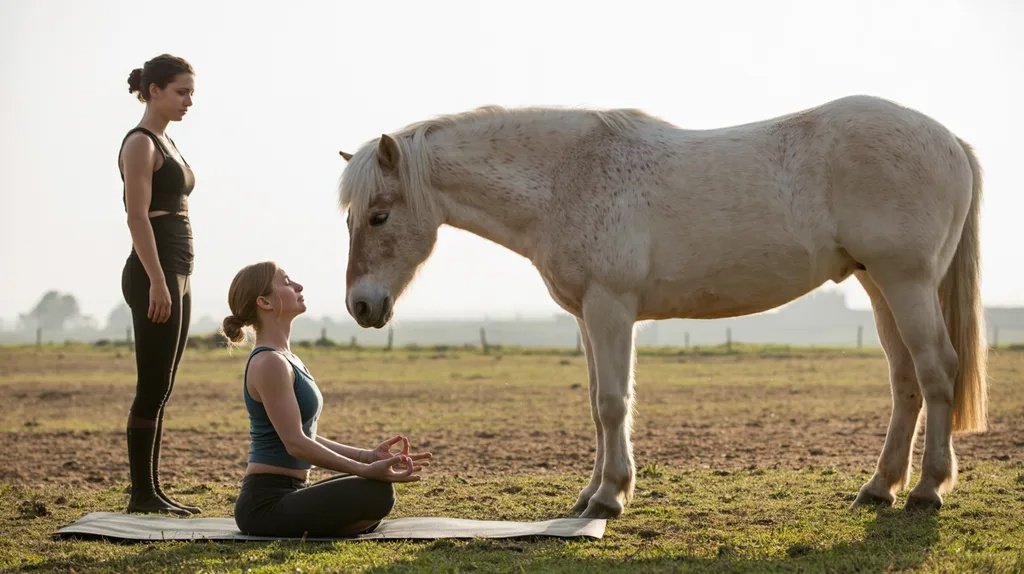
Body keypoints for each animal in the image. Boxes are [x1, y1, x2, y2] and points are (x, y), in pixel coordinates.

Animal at [338, 95, 987, 519]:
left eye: (379, 215)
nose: (362, 306)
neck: (566, 179)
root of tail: (949, 140)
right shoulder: (587, 317)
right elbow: (597, 404)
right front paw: (591, 495)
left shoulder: (610, 309)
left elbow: (612, 403)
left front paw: (609, 497)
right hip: (881, 287)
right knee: (905, 380)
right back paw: (880, 487)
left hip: (905, 282)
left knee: (936, 371)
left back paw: (928, 489)